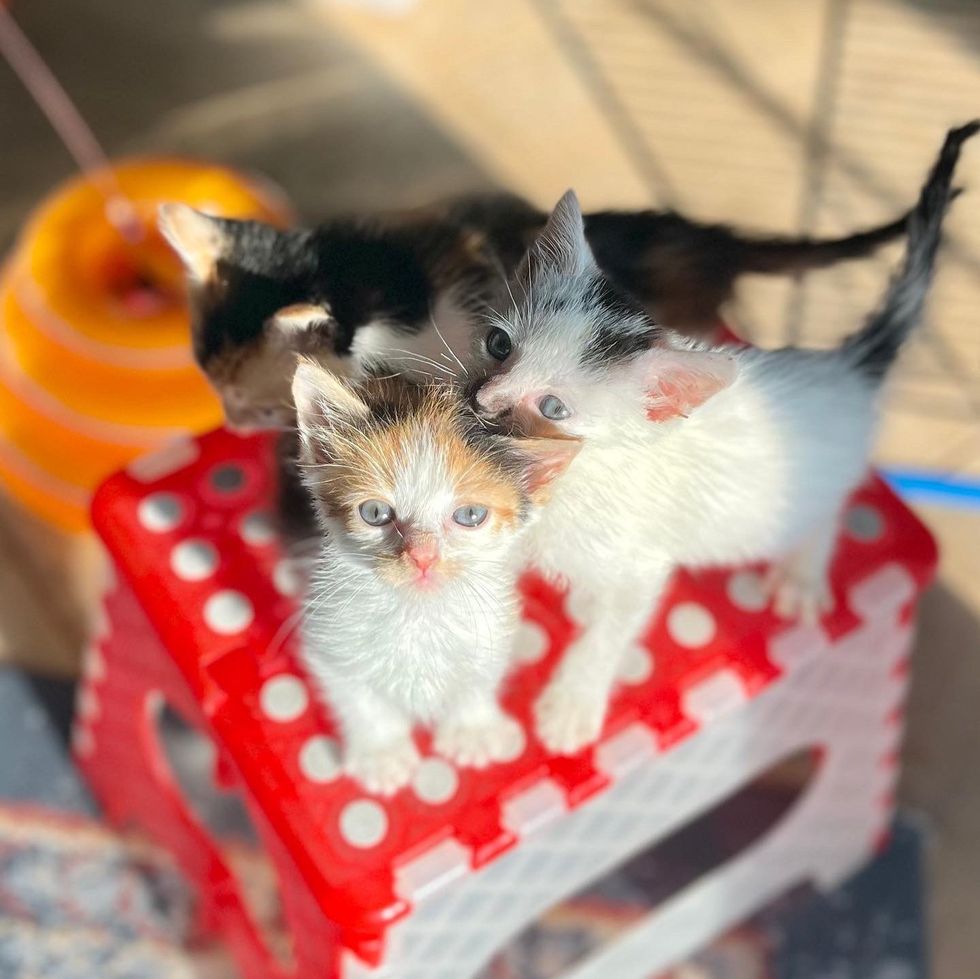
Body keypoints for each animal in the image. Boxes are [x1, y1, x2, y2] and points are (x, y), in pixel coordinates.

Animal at [290, 364, 580, 792]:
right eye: (374, 513)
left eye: (470, 515)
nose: (422, 557)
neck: (418, 612)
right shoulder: (327, 640)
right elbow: (357, 696)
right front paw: (382, 753)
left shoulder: (491, 628)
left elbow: (480, 675)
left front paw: (471, 731)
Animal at [470, 118, 976, 756]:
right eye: (498, 345)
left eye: (554, 407)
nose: (481, 402)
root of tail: (845, 367)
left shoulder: (641, 564)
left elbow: (611, 632)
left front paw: (571, 707)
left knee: (826, 513)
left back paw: (802, 575)